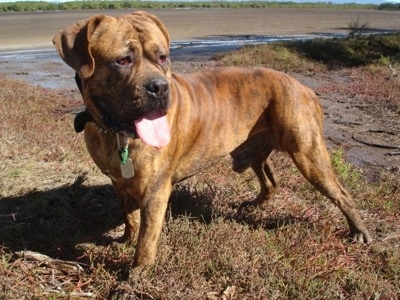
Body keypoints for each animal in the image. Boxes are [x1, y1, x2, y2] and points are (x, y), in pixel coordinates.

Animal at [54, 10, 372, 276]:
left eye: (163, 57)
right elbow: (130, 218)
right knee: (270, 182)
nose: (160, 87)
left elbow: (147, 236)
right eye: (122, 61)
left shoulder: (156, 191)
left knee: (341, 193)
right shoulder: (120, 183)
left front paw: (136, 274)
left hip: (308, 154)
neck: (115, 133)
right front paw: (125, 240)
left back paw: (358, 231)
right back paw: (251, 206)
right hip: (257, 152)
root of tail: (303, 87)